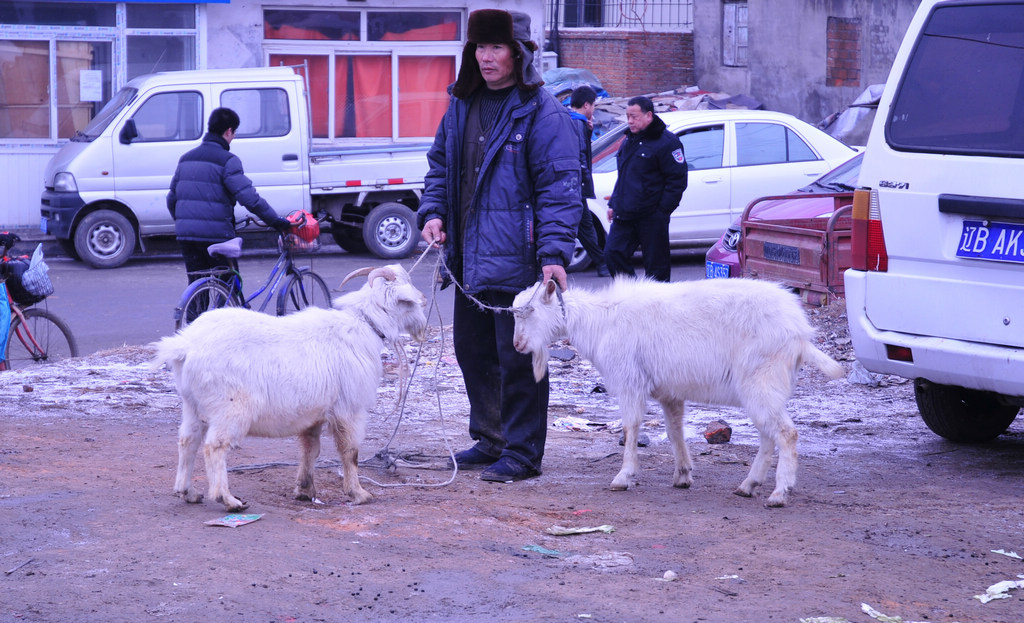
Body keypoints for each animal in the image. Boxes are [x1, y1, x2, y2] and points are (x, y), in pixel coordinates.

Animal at [149, 262, 425, 510]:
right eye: (409, 295)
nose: (423, 300)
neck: (365, 323)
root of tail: (185, 346)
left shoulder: (314, 414)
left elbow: (310, 449)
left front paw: (305, 490)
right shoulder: (349, 409)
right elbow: (350, 451)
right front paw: (358, 493)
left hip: (192, 404)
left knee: (188, 440)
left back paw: (188, 492)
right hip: (230, 408)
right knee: (214, 446)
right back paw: (227, 499)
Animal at [509, 276, 839, 506]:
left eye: (530, 311)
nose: (517, 345)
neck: (600, 320)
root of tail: (800, 333)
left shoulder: (629, 380)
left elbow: (630, 427)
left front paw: (624, 476)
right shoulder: (669, 392)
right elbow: (674, 430)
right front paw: (683, 474)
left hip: (762, 381)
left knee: (786, 433)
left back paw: (780, 492)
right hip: (761, 388)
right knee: (768, 435)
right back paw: (749, 485)